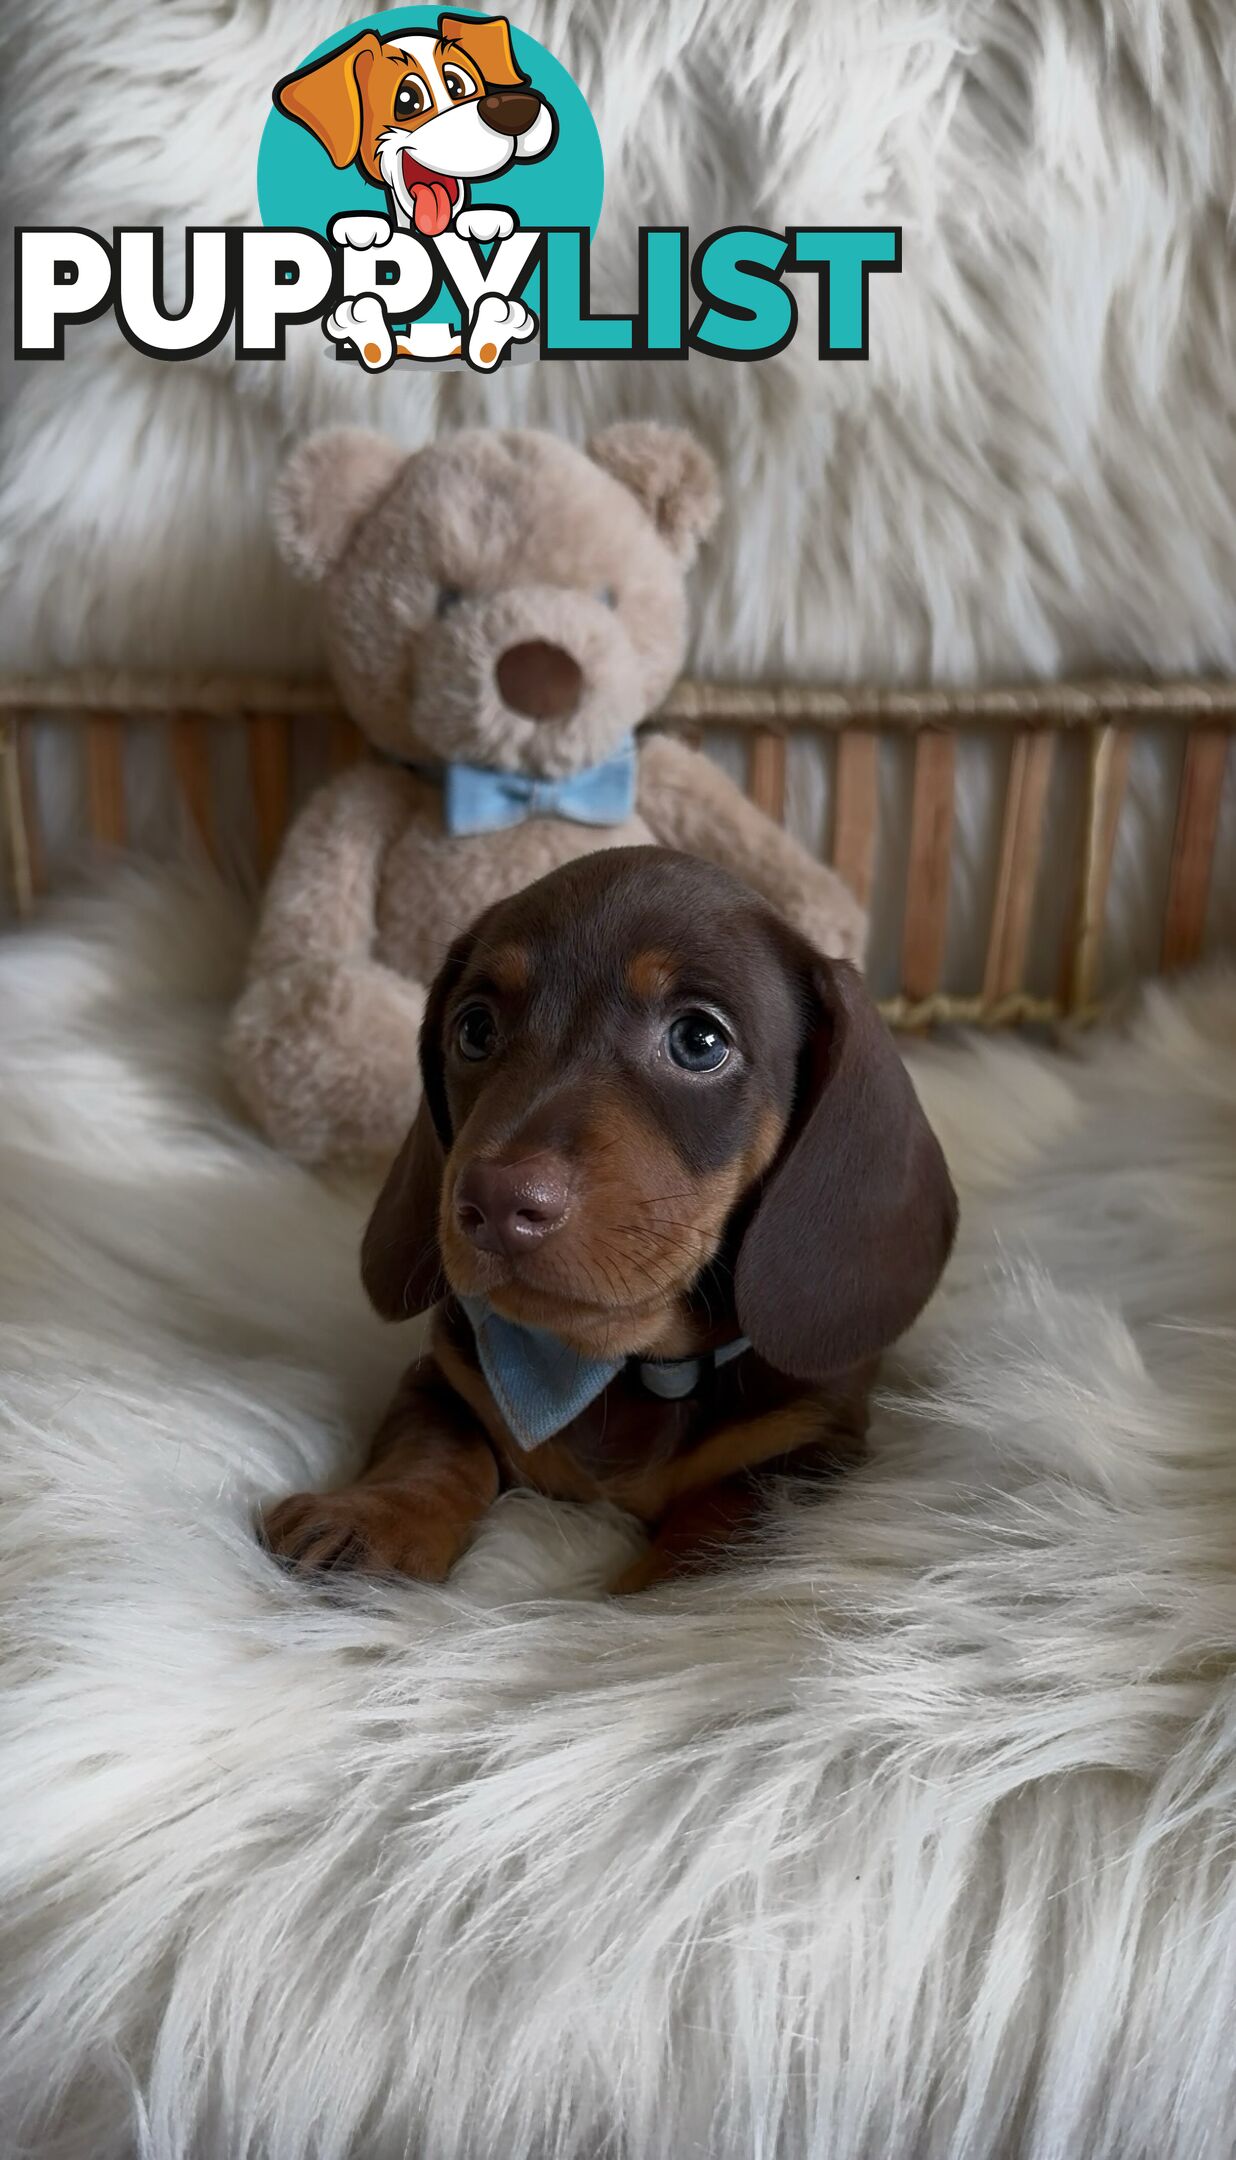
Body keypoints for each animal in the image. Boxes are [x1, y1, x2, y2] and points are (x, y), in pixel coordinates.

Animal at [263, 842, 955, 1589]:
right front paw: (377, 1515)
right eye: (474, 1029)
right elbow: (435, 1446)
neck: (628, 1366)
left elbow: (716, 1531)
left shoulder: (806, 1452)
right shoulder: (445, 1375)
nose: (495, 1201)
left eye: (700, 1041)